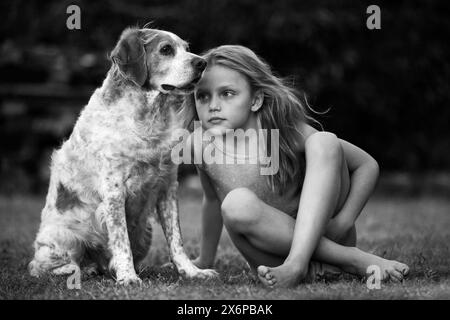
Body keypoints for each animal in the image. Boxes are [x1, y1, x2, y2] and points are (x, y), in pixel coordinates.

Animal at [28, 27, 218, 284]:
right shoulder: (114, 192)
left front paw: (192, 271)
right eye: (166, 49)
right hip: (64, 238)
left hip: (145, 231)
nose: (202, 63)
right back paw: (78, 270)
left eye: (187, 49)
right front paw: (128, 277)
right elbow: (121, 241)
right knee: (41, 266)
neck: (147, 118)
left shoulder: (167, 187)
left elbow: (176, 240)